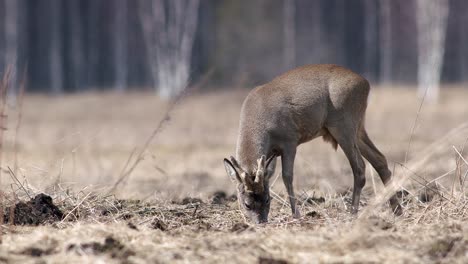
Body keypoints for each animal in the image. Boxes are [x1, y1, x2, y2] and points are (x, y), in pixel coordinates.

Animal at [223, 64, 402, 223]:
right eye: (246, 204)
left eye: (267, 199)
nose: (261, 221)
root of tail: (366, 83)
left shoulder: (290, 140)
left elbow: (287, 176)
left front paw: (296, 214)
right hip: (357, 127)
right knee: (379, 159)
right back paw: (397, 210)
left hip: (343, 124)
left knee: (359, 166)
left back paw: (353, 213)